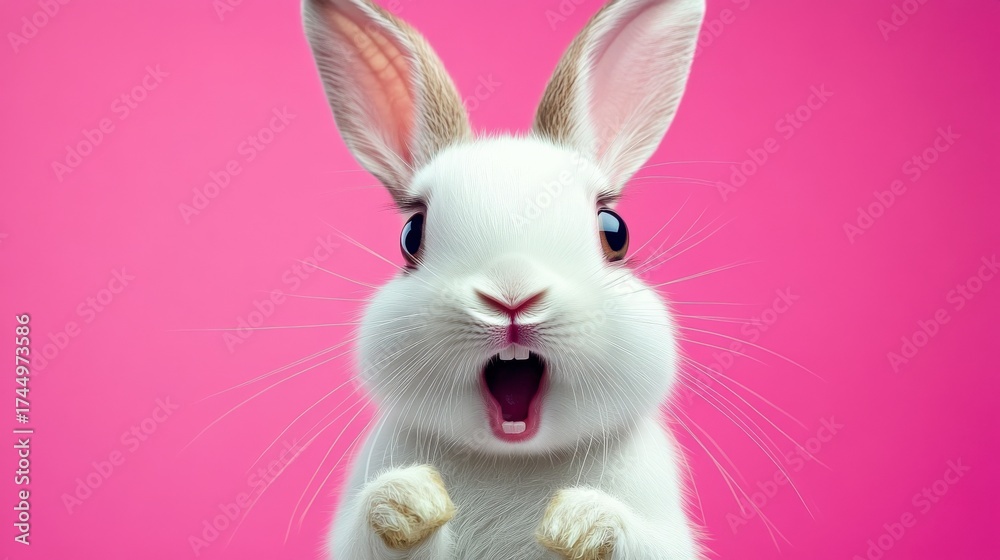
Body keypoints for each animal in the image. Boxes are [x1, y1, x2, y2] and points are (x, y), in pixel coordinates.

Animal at [302, 0, 706, 558]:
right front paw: (409, 502)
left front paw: (578, 523)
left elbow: (637, 538)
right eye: (411, 235)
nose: (511, 297)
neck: (511, 456)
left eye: (615, 232)